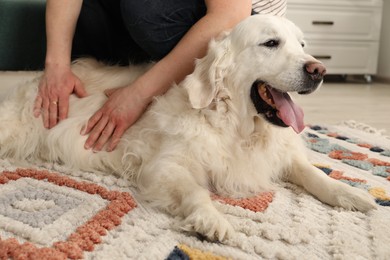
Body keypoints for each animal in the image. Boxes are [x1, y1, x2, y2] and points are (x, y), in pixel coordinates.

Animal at [0, 14, 374, 242]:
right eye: (271, 43)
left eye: (303, 45)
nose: (319, 70)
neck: (235, 128)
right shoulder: (165, 166)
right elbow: (196, 191)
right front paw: (211, 219)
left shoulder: (281, 155)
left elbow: (314, 174)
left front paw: (349, 193)